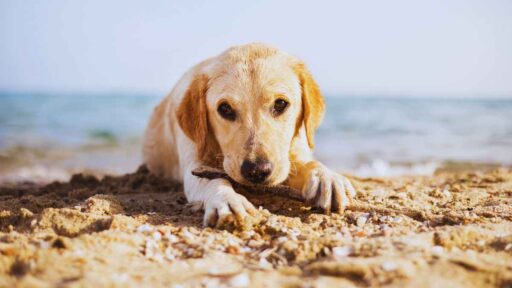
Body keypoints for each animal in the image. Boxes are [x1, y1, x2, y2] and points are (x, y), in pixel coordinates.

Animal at [142, 43, 354, 227]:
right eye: (225, 109)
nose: (257, 171)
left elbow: (309, 163)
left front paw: (326, 177)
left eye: (280, 104)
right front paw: (227, 199)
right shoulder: (193, 164)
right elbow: (214, 180)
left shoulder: (295, 152)